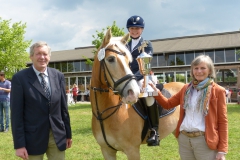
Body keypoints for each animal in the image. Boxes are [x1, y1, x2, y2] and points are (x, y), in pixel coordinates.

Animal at [90, 29, 184, 160]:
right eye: (111, 59)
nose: (133, 93)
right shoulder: (107, 151)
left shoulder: (132, 150)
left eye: (128, 61)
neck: (103, 114)